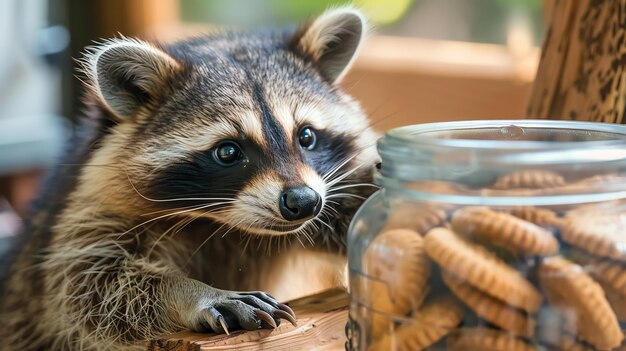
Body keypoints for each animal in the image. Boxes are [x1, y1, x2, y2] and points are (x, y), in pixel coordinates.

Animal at [0, 6, 376, 351]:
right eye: (228, 152)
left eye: (306, 136)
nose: (303, 202)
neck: (223, 223)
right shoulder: (84, 208)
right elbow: (84, 283)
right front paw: (191, 292)